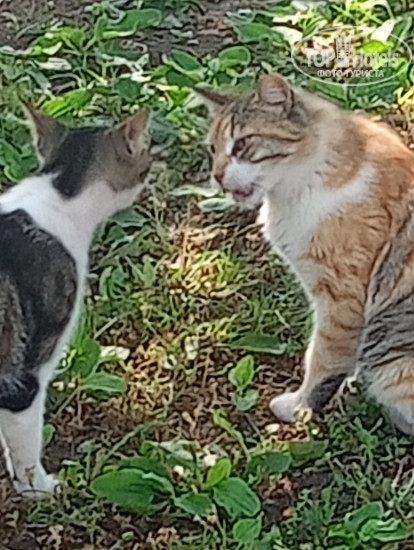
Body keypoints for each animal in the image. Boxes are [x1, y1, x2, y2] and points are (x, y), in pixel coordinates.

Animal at [198, 73, 414, 435]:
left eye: (242, 145)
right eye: (212, 149)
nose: (217, 176)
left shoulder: (340, 299)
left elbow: (321, 359)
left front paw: (300, 407)